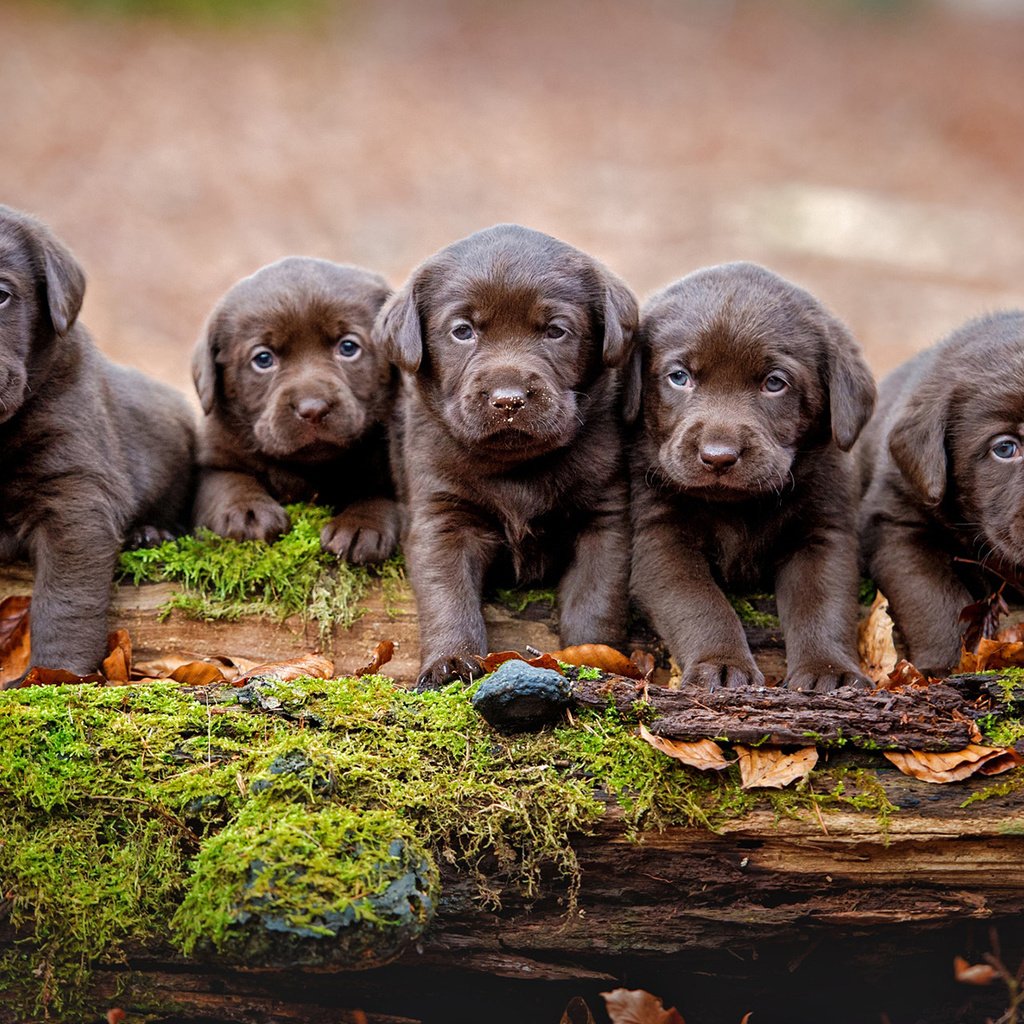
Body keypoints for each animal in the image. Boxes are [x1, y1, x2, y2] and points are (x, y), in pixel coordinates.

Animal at [190, 252, 397, 565]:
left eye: (348, 347)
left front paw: (361, 525)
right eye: (263, 359)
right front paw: (248, 512)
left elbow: (385, 491)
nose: (313, 409)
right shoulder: (212, 460)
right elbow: (228, 482)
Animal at [380, 224, 634, 688]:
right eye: (463, 331)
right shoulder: (443, 516)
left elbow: (596, 599)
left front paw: (595, 661)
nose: (508, 399)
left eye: (556, 331)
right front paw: (451, 661)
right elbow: (448, 595)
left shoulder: (604, 517)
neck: (515, 467)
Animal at [626, 264, 876, 692]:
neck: (739, 507)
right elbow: (700, 602)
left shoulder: (824, 534)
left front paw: (829, 671)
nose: (718, 457)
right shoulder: (659, 536)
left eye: (774, 383)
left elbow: (823, 604)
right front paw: (721, 663)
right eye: (679, 377)